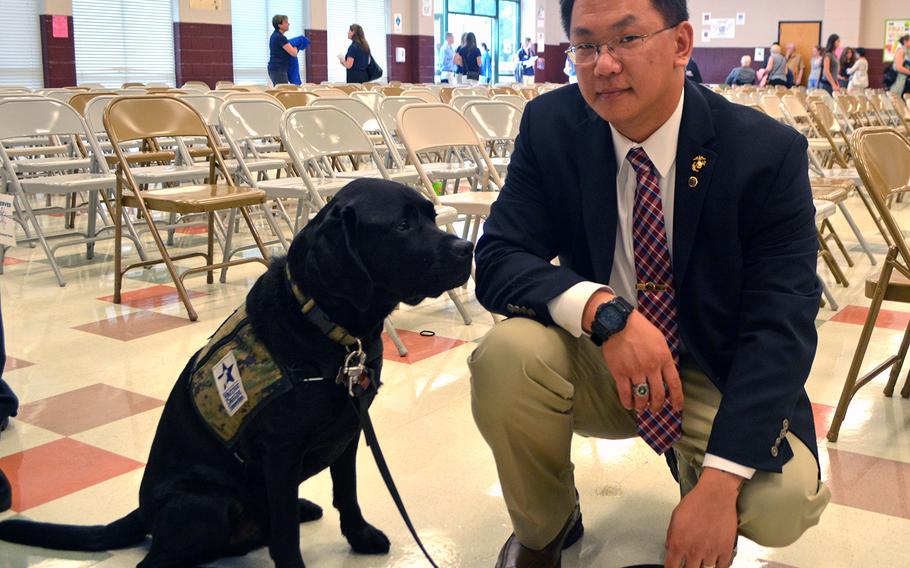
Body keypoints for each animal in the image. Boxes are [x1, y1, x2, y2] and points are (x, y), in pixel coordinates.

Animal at [0, 179, 470, 568]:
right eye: (403, 225)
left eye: (431, 216)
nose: (466, 250)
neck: (329, 328)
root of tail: (143, 511)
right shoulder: (281, 448)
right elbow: (286, 536)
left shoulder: (350, 426)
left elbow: (347, 492)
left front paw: (360, 536)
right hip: (206, 505)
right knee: (162, 557)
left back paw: (304, 507)